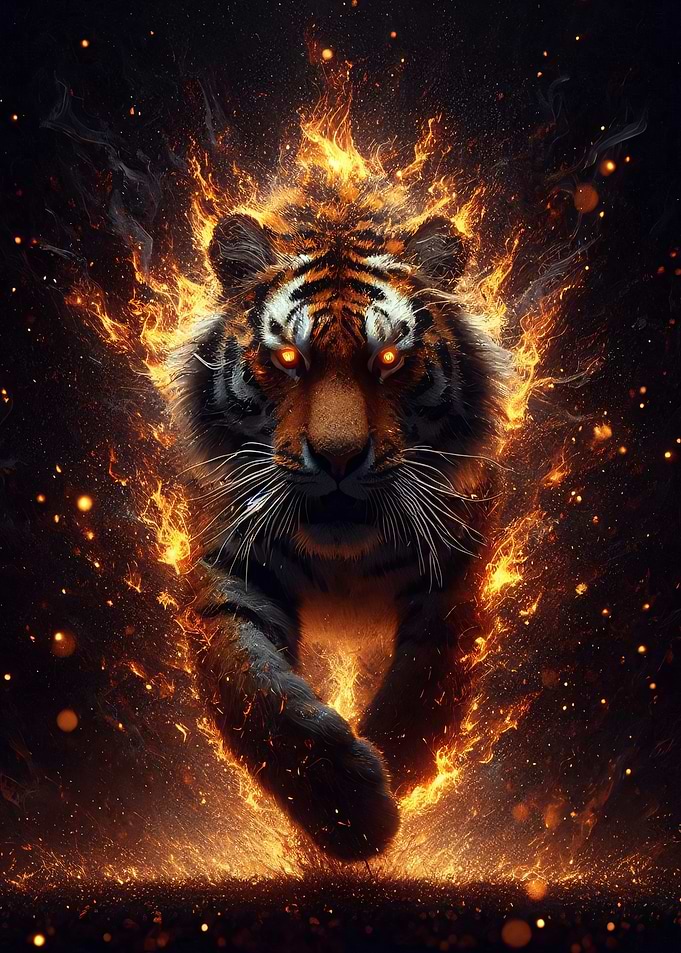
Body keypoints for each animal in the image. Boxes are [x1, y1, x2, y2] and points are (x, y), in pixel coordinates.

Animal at [170, 166, 510, 861]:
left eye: (389, 360)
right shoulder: (230, 570)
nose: (338, 457)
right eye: (288, 359)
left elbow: (418, 696)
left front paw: (382, 796)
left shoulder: (455, 580)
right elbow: (261, 695)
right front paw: (347, 816)